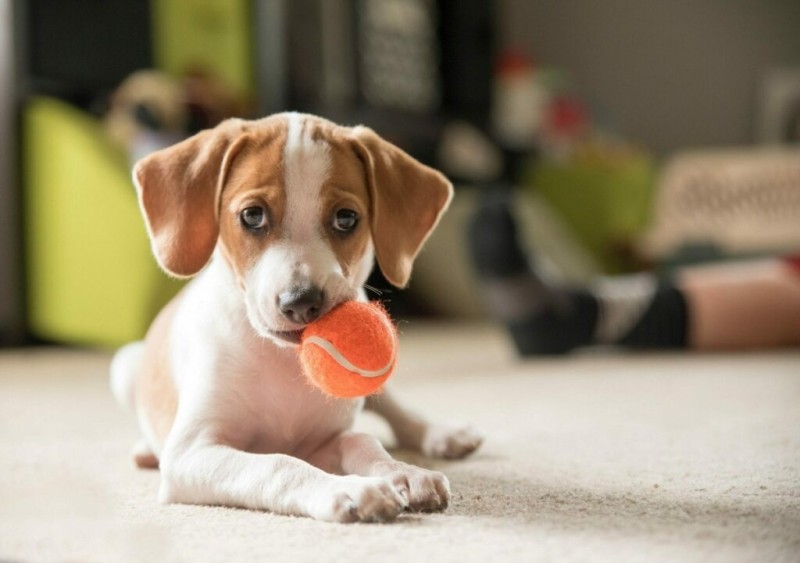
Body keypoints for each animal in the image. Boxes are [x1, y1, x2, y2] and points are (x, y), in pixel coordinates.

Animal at [107, 112, 482, 524]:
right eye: (252, 215)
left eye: (346, 218)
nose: (301, 303)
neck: (282, 360)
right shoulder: (191, 454)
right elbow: (277, 464)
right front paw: (348, 489)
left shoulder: (323, 440)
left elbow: (362, 441)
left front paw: (402, 472)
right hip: (124, 364)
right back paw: (145, 449)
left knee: (393, 409)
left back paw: (440, 434)